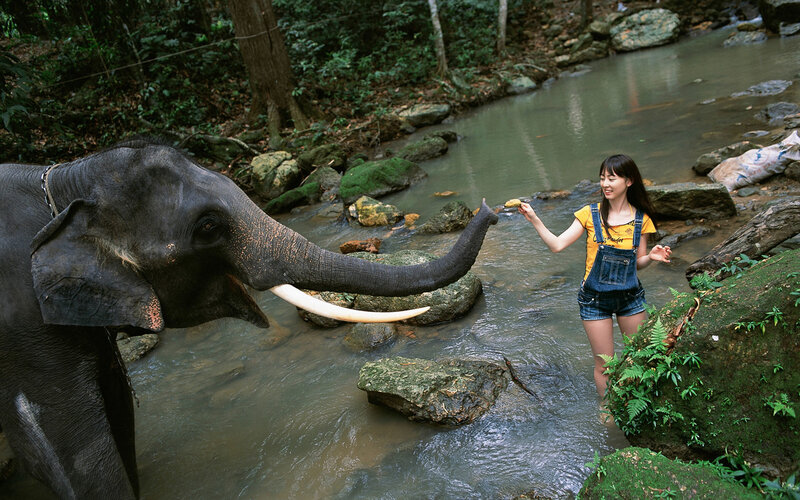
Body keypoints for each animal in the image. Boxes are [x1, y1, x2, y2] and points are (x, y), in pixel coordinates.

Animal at [0, 138, 498, 498]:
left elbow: (119, 411)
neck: (65, 180)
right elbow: (69, 446)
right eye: (208, 227)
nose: (492, 209)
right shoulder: (22, 324)